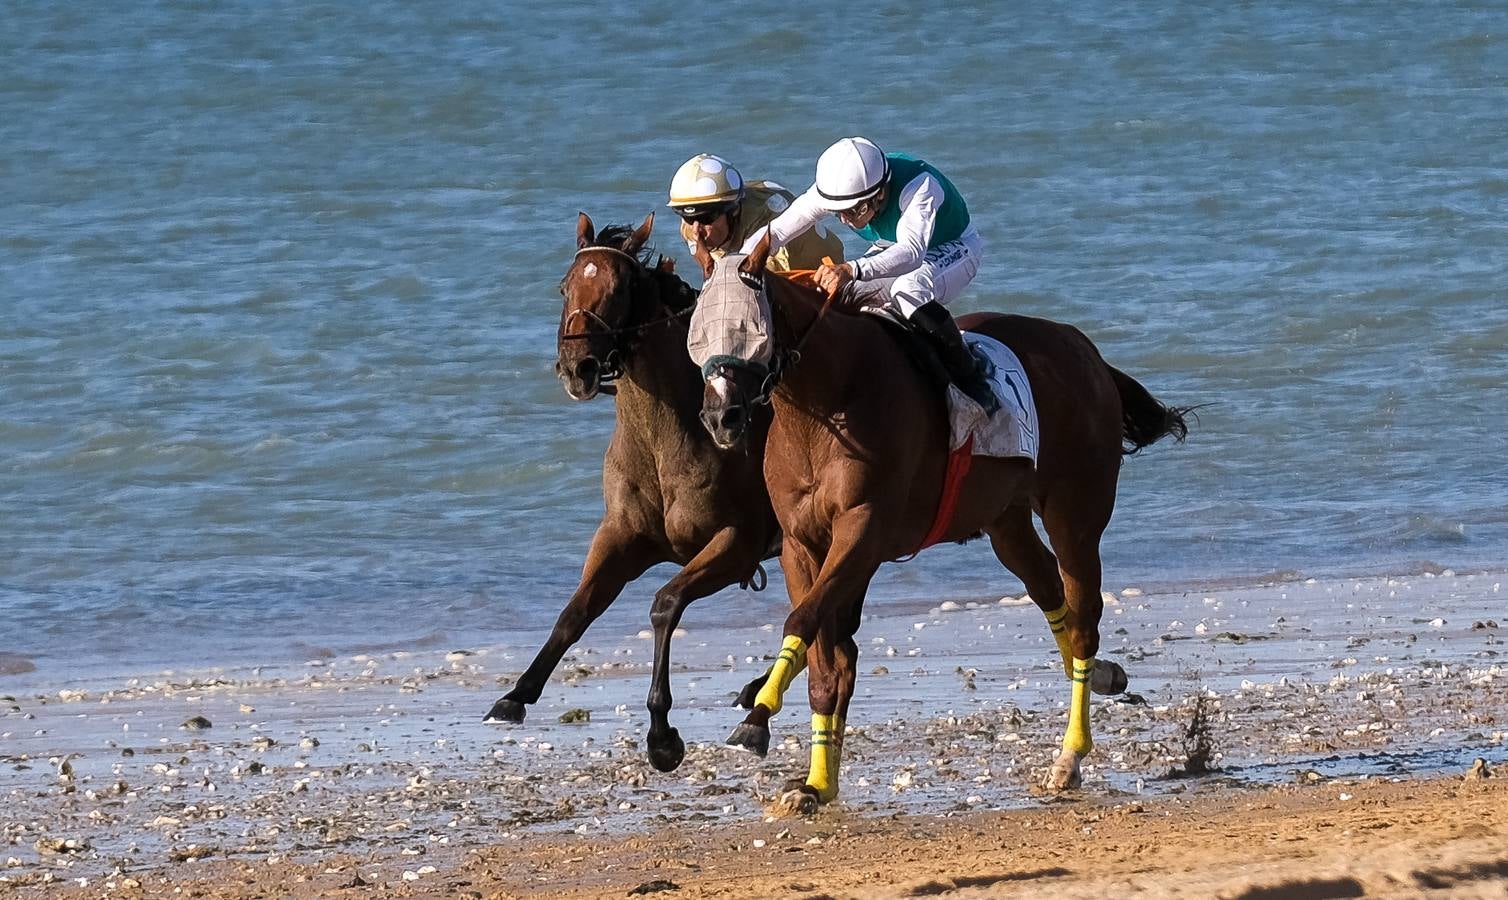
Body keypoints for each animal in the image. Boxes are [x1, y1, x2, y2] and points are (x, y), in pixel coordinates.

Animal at [482, 212, 784, 771]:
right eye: (564, 286)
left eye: (618, 290)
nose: (575, 368)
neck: (669, 435)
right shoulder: (621, 536)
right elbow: (576, 611)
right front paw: (516, 694)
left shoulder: (737, 542)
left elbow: (665, 604)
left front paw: (662, 734)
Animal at [693, 233, 1188, 808]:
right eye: (695, 330)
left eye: (748, 328)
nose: (720, 418)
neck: (830, 401)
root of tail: (1084, 348)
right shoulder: (802, 544)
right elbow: (826, 659)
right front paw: (815, 783)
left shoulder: (863, 529)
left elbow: (804, 623)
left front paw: (758, 718)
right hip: (1006, 521)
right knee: (1050, 592)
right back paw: (1105, 676)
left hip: (1076, 511)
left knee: (1083, 617)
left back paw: (1069, 758)